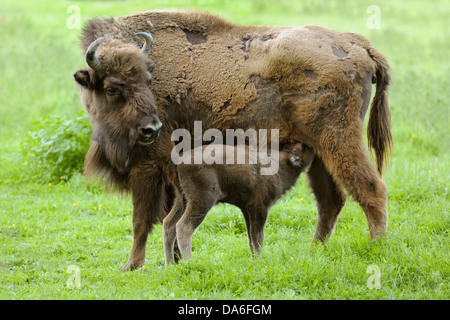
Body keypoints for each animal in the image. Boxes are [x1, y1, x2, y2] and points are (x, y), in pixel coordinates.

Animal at [162, 143, 312, 264]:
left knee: (168, 224)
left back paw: (170, 265)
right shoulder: (260, 208)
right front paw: (259, 260)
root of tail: (179, 161)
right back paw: (190, 262)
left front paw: (254, 259)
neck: (281, 165)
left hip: (182, 199)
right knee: (183, 226)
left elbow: (251, 237)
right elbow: (258, 238)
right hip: (201, 199)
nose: (307, 146)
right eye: (296, 149)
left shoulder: (247, 209)